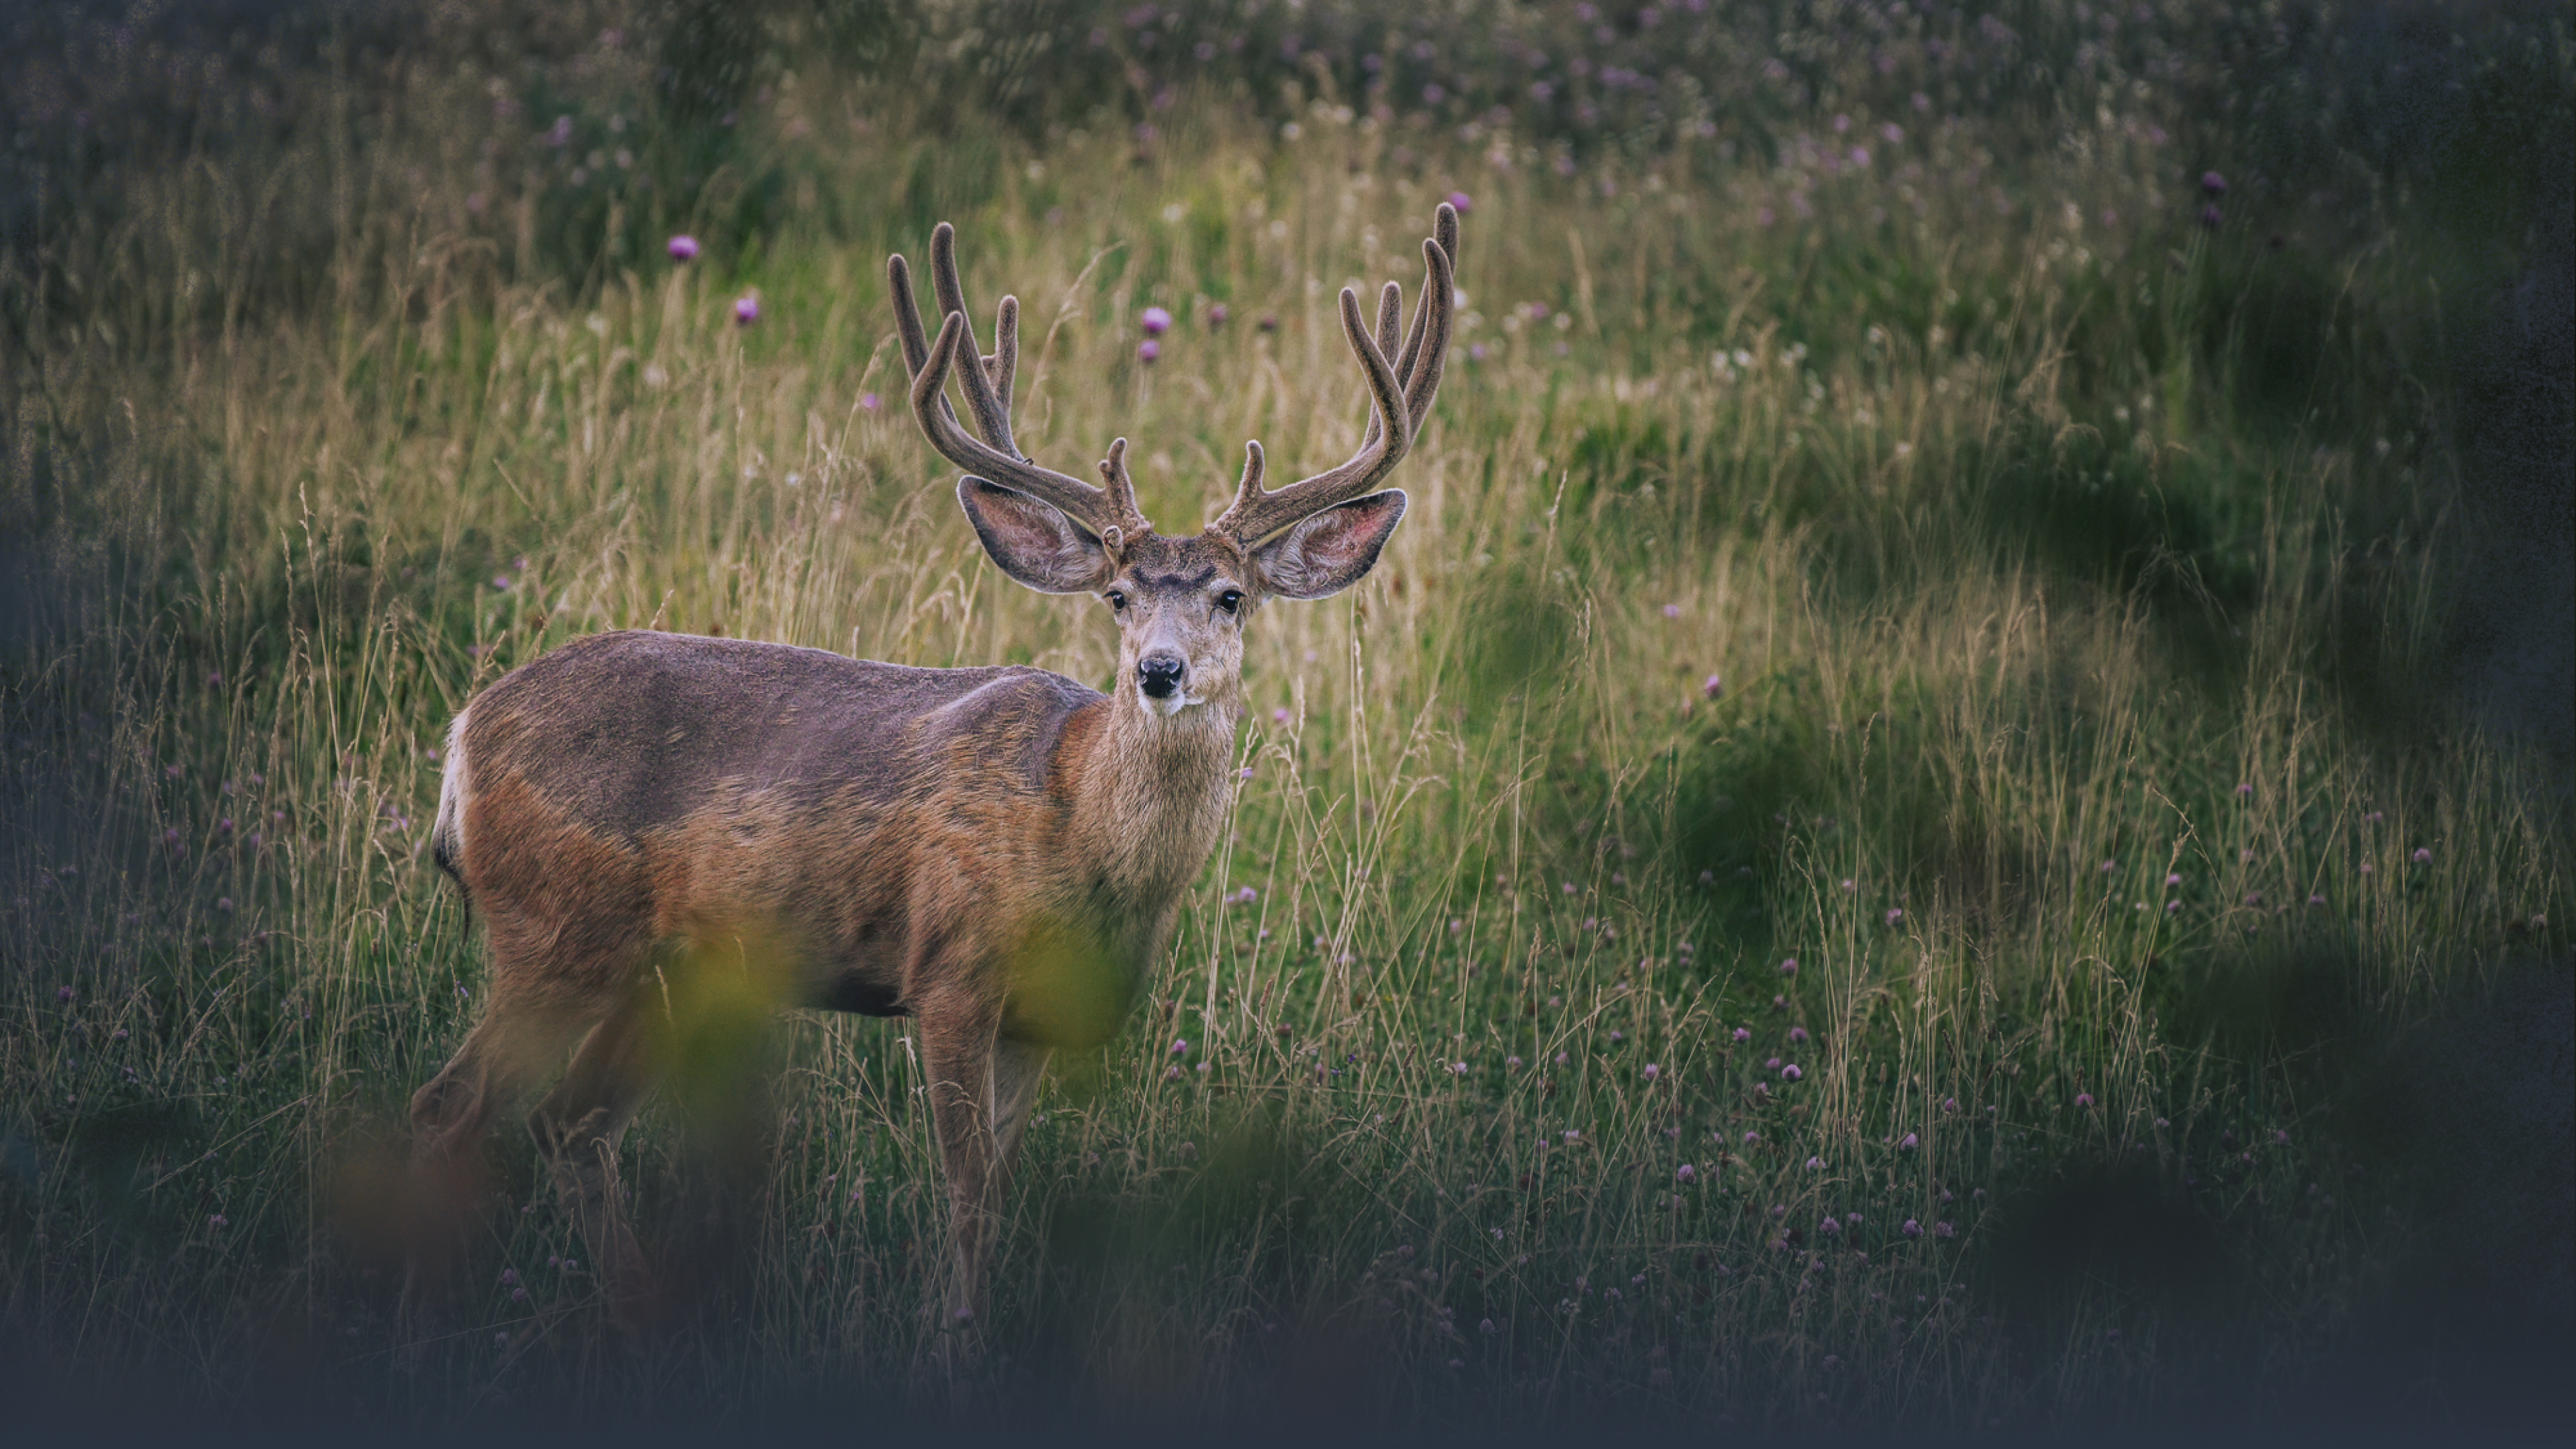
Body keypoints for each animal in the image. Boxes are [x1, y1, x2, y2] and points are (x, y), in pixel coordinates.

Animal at [406, 204, 1458, 1331]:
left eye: (1231, 596)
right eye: (1119, 597)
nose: (1160, 672)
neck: (1078, 830)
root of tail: (466, 733)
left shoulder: (1041, 1021)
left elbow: (999, 1183)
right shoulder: (950, 973)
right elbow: (968, 1194)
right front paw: (957, 1335)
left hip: (666, 968)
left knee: (569, 1123)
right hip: (553, 930)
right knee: (451, 1106)